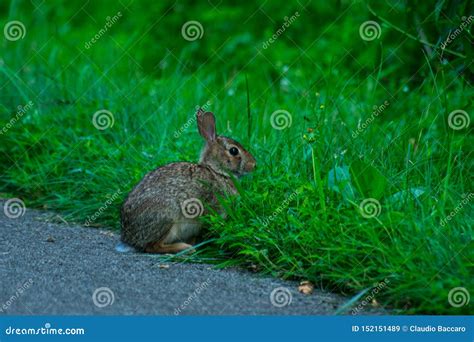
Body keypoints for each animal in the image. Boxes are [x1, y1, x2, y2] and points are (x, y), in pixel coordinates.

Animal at [120, 109, 258, 254]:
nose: (254, 165)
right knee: (153, 246)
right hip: (168, 217)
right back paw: (186, 248)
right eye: (233, 150)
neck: (217, 172)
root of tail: (129, 237)